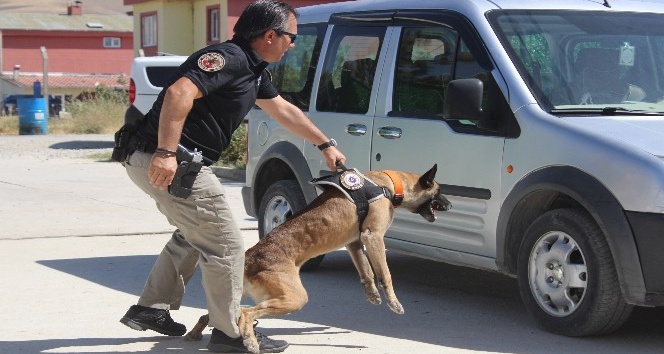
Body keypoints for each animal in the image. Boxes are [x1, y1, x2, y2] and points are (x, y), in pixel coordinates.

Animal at [184, 165, 448, 352]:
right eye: (439, 192)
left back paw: (197, 334)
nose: (449, 205)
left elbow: (366, 271)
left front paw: (372, 294)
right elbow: (385, 274)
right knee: (246, 313)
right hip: (294, 298)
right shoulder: (373, 237)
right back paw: (249, 341)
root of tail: (250, 257)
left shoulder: (354, 242)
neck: (389, 183)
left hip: (252, 294)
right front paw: (393, 302)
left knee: (217, 314)